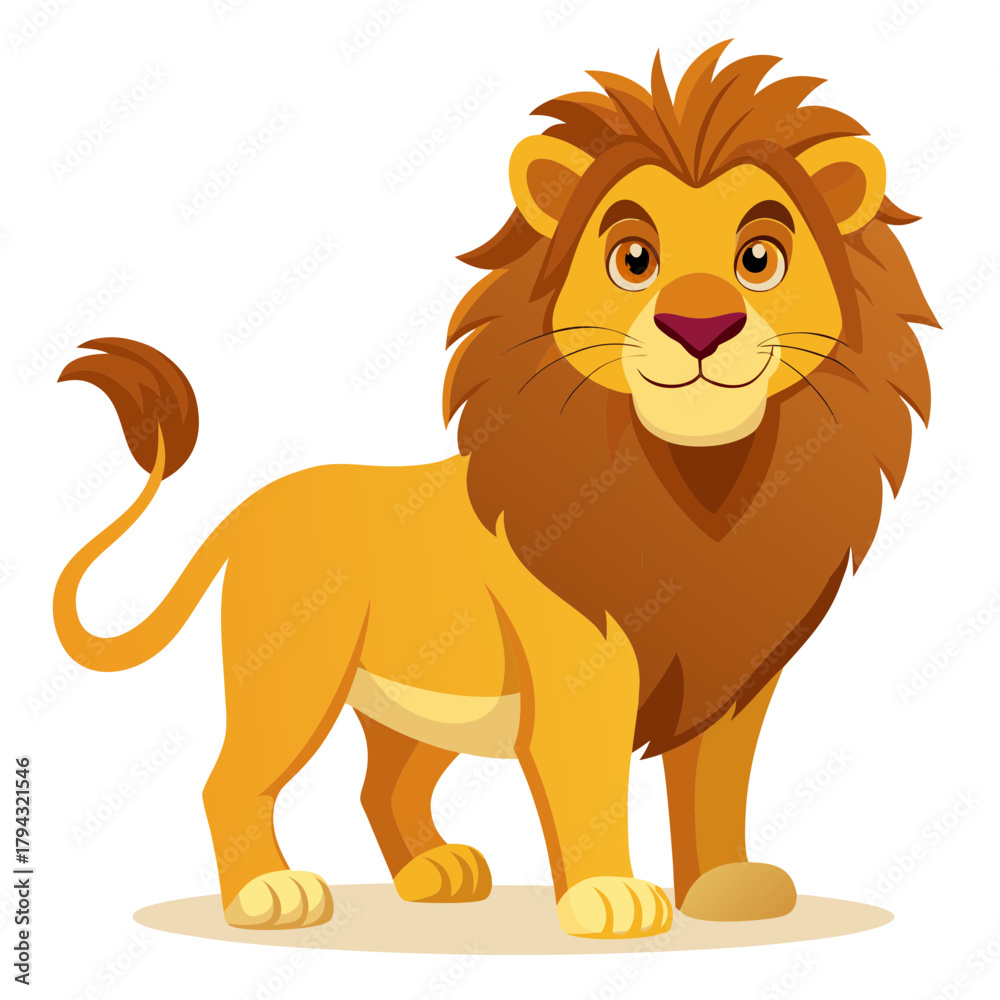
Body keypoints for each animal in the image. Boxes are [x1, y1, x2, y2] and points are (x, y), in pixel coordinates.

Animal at [54, 42, 933, 940]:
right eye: (633, 259)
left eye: (759, 259)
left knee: (382, 785)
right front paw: (609, 898)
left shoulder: (733, 679)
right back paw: (269, 892)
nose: (699, 326)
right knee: (232, 778)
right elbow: (588, 787)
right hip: (293, 668)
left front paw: (725, 889)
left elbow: (714, 788)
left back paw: (433, 874)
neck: (705, 489)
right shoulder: (583, 669)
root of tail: (247, 510)